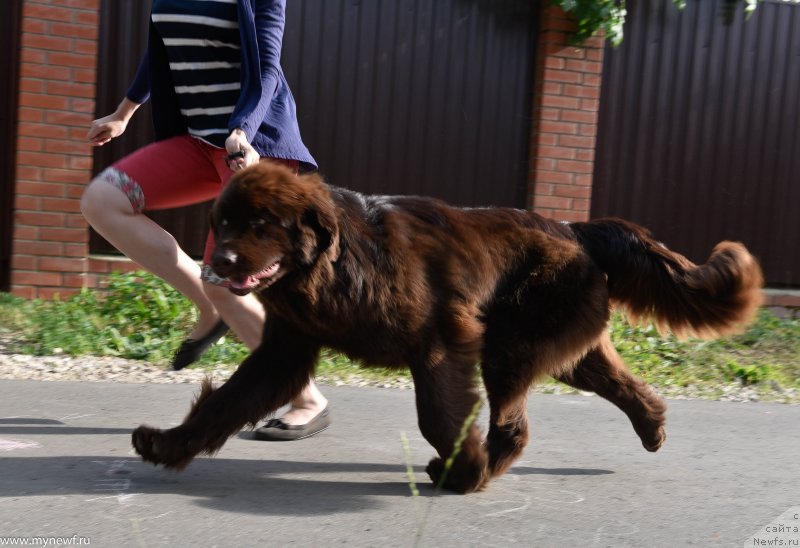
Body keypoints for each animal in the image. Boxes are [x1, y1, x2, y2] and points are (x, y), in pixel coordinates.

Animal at [133, 161, 764, 494]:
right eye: (223, 222)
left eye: (262, 222)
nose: (219, 263)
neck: (339, 262)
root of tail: (574, 227)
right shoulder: (284, 351)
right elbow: (224, 405)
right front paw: (168, 445)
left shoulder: (441, 342)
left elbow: (438, 416)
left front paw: (465, 466)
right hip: (558, 347)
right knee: (622, 386)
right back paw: (652, 427)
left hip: (511, 345)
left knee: (515, 426)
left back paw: (471, 475)